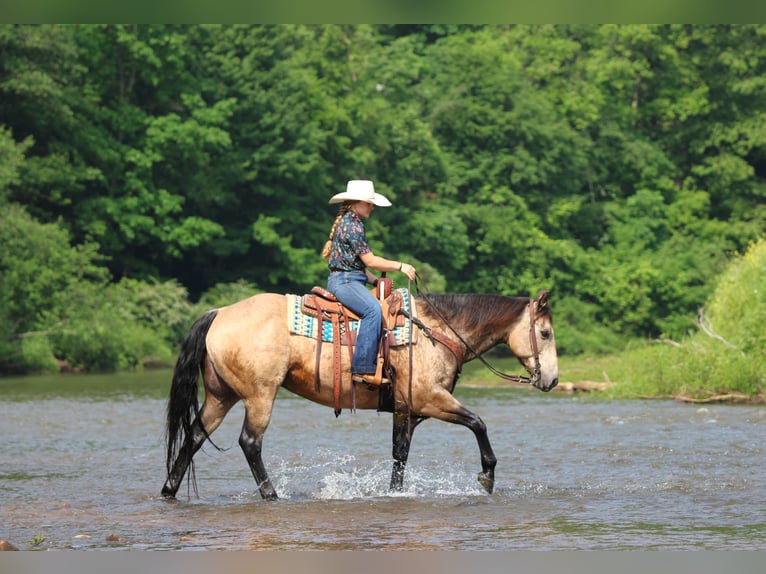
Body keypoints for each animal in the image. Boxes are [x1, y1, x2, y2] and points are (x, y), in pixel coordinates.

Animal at [161, 287, 559, 500]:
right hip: (260, 396)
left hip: (220, 396)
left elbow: (400, 454)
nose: (553, 380)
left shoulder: (407, 410)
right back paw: (271, 494)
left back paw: (169, 490)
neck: (436, 332)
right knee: (250, 443)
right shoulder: (430, 398)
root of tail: (219, 313)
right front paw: (487, 476)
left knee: (194, 436)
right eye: (545, 333)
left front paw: (395, 493)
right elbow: (478, 423)